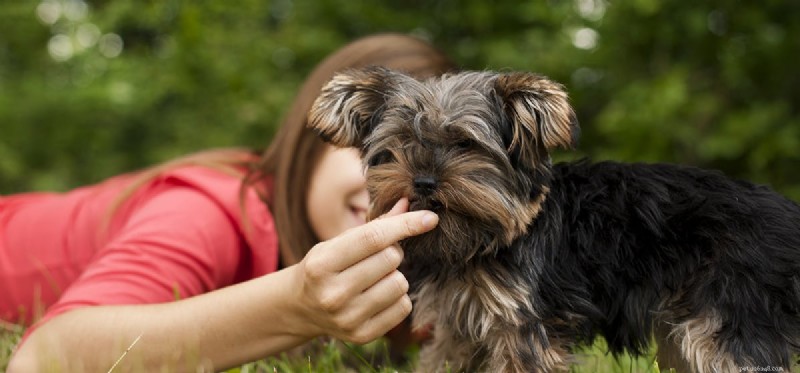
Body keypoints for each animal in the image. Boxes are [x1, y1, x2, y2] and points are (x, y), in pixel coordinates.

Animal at [306, 67, 800, 372]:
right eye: (401, 144)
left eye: (465, 144)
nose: (423, 181)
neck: (482, 241)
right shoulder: (457, 325)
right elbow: (443, 359)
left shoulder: (522, 322)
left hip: (732, 311)